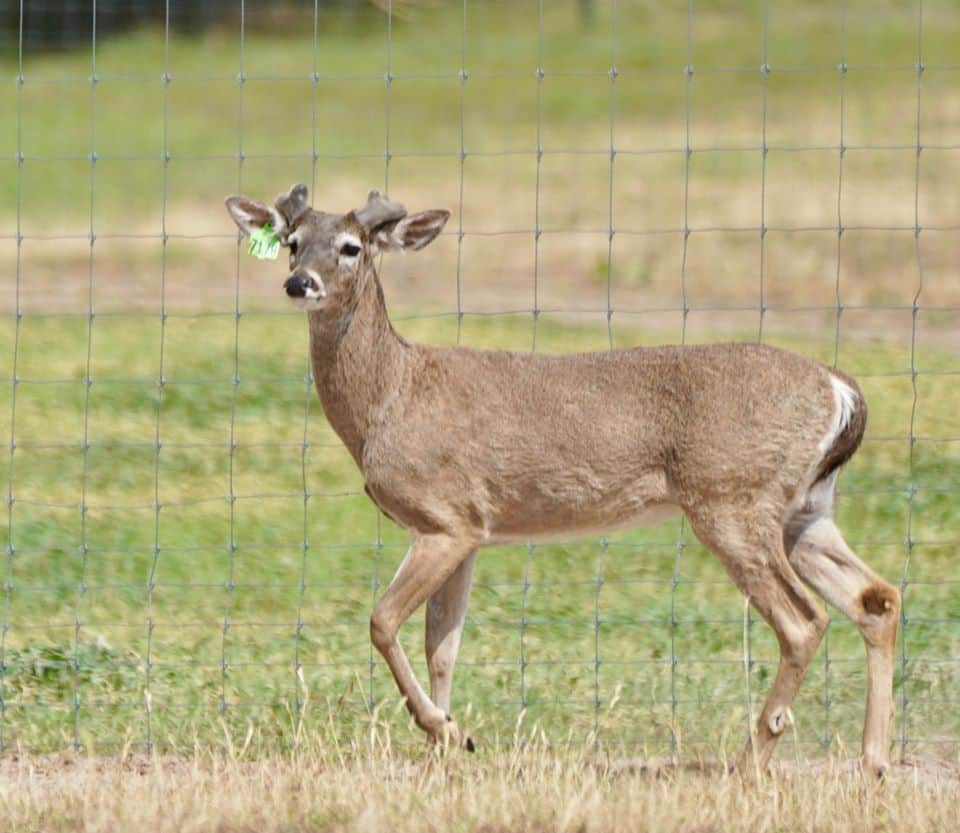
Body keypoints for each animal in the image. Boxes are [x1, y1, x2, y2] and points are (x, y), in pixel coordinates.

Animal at [225, 183, 900, 776]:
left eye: (350, 246)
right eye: (291, 242)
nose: (298, 283)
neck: (391, 395)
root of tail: (840, 388)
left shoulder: (445, 518)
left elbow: (383, 620)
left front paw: (443, 730)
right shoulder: (470, 532)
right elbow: (442, 646)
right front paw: (451, 744)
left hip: (732, 499)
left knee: (804, 620)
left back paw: (753, 758)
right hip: (803, 509)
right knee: (876, 598)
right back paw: (872, 760)